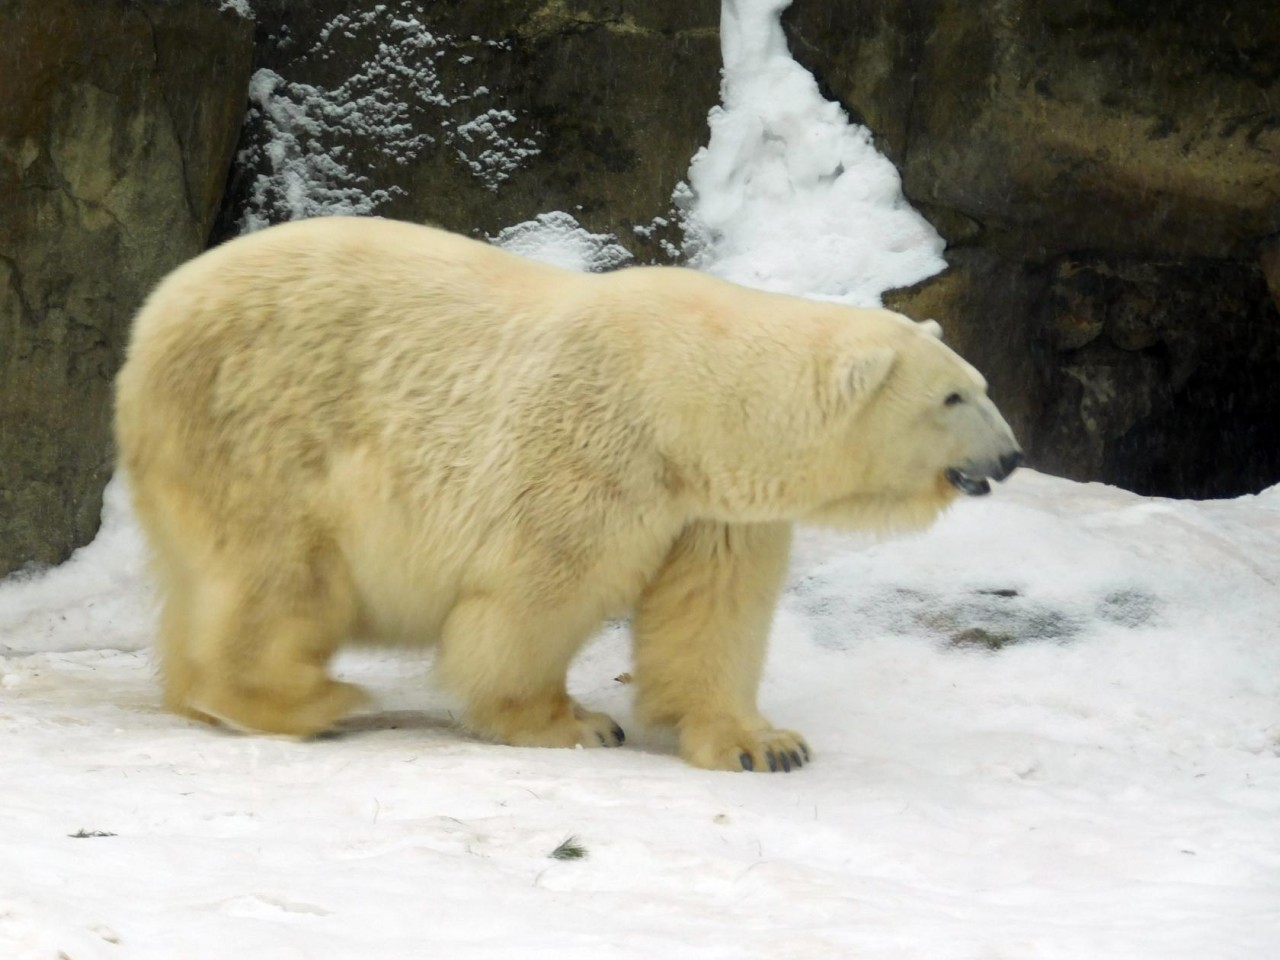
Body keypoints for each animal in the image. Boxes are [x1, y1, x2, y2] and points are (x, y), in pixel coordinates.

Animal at [117, 216, 1018, 773]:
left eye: (979, 383)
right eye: (952, 397)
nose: (1010, 458)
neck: (686, 400)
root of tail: (152, 319)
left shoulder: (711, 507)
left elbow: (712, 614)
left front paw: (764, 744)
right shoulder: (594, 452)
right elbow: (532, 597)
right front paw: (573, 721)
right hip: (262, 426)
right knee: (279, 574)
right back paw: (301, 701)